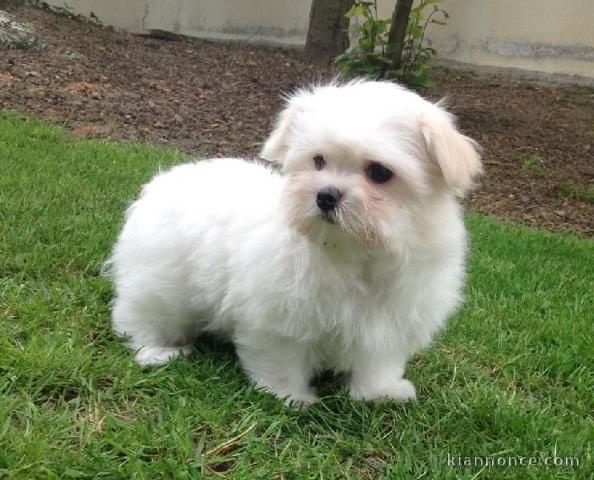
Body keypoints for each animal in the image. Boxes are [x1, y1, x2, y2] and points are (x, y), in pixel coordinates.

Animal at [110, 79, 480, 404]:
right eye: (318, 161)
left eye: (380, 173)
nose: (326, 195)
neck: (354, 253)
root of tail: (165, 180)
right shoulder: (277, 316)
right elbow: (281, 357)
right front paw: (288, 396)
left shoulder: (390, 321)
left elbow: (378, 360)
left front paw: (379, 392)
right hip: (162, 283)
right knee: (139, 315)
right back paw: (157, 352)